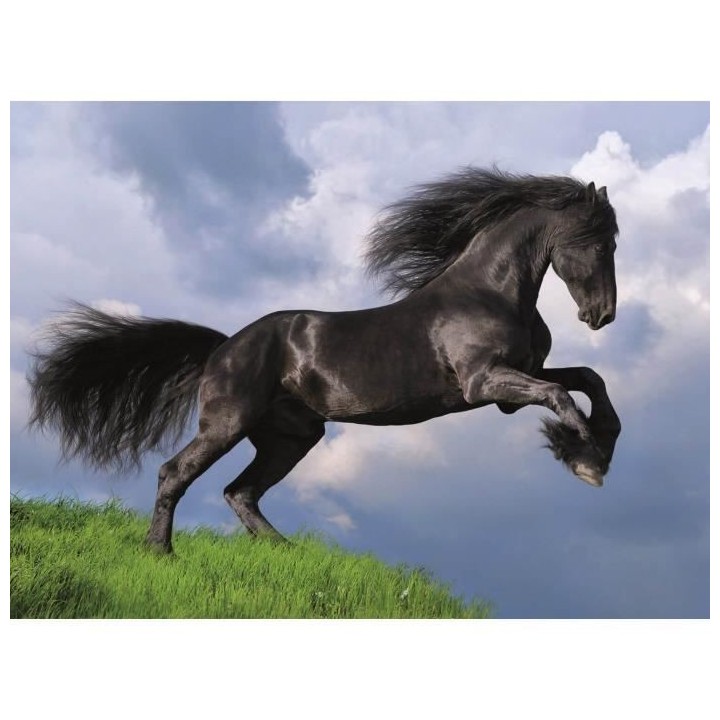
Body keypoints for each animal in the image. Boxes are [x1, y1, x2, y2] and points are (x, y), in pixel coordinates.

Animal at [28, 168, 622, 553]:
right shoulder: (484, 384)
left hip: (291, 437)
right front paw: (585, 460)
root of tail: (222, 347)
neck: (489, 293)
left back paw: (285, 552)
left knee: (240, 491)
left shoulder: (512, 385)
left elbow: (588, 380)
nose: (602, 315)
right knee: (177, 473)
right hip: (228, 423)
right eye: (598, 243)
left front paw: (599, 448)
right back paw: (159, 551)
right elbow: (562, 394)